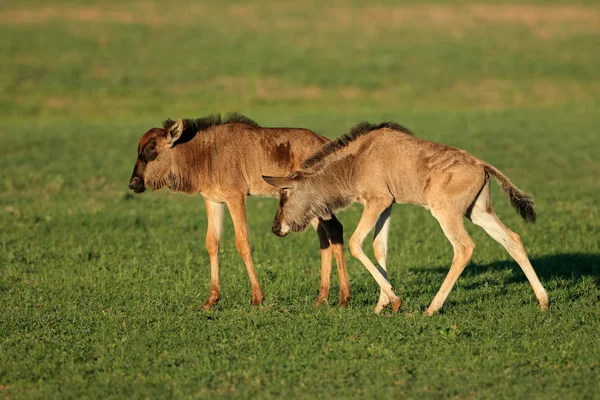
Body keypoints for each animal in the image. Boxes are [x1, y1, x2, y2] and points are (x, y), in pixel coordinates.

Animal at [129, 112, 350, 310]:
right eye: (139, 149)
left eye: (152, 149)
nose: (134, 184)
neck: (205, 153)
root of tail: (324, 142)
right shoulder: (212, 200)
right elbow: (212, 243)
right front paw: (211, 300)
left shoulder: (235, 197)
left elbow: (242, 242)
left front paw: (257, 298)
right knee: (324, 236)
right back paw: (321, 298)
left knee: (335, 230)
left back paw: (344, 298)